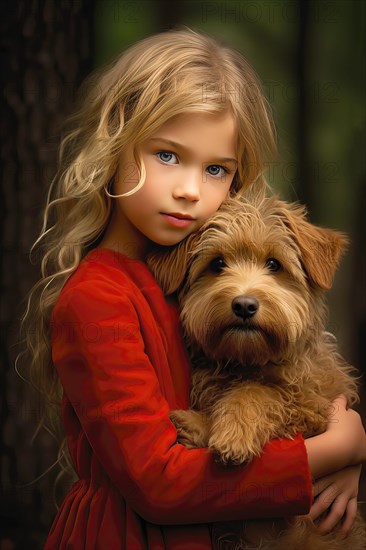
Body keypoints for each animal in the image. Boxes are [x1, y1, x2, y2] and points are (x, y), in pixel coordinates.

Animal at [147, 194, 364, 550]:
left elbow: (259, 393)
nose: (245, 305)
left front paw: (226, 433)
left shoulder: (313, 407)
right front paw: (199, 424)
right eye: (217, 264)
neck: (246, 360)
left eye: (274, 264)